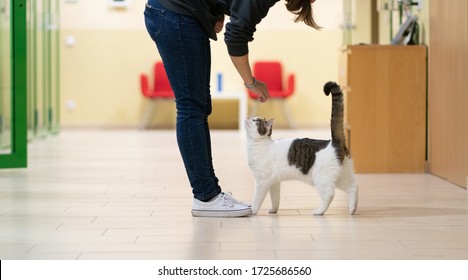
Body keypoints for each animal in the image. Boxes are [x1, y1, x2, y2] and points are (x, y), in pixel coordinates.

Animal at [245, 82, 358, 215]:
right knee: (354, 187)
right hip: (341, 176)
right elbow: (275, 198)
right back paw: (352, 209)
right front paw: (273, 210)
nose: (248, 117)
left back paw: (319, 211)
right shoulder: (274, 182)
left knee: (329, 195)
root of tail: (334, 142)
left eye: (255, 120)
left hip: (322, 179)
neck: (258, 145)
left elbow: (257, 199)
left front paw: (252, 210)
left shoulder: (262, 181)